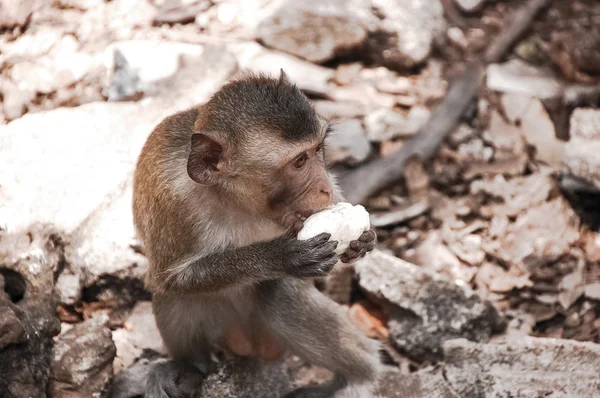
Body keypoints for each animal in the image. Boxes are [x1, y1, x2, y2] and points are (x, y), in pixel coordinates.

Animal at [132, 70, 380, 396]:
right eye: (299, 162)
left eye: (317, 151)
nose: (325, 188)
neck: (231, 196)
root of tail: (250, 350)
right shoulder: (173, 200)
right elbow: (169, 279)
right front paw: (278, 256)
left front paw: (361, 240)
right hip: (227, 332)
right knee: (175, 296)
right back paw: (190, 367)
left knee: (279, 293)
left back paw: (360, 377)